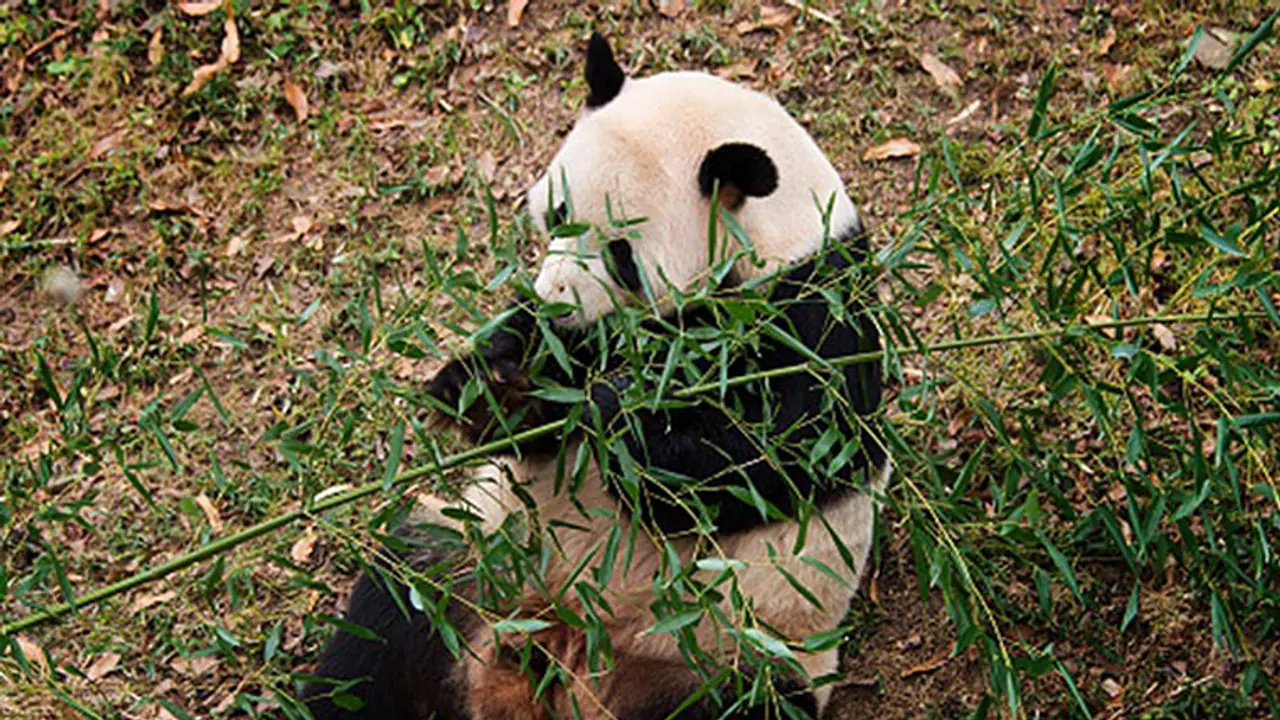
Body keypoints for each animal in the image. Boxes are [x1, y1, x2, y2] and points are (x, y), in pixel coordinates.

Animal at [304, 33, 888, 720]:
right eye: (558, 213)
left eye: (621, 255)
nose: (555, 304)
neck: (779, 229)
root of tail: (557, 649)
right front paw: (485, 388)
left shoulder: (815, 312)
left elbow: (771, 457)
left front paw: (615, 411)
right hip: (478, 559)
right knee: (391, 613)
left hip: (729, 660)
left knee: (731, 701)